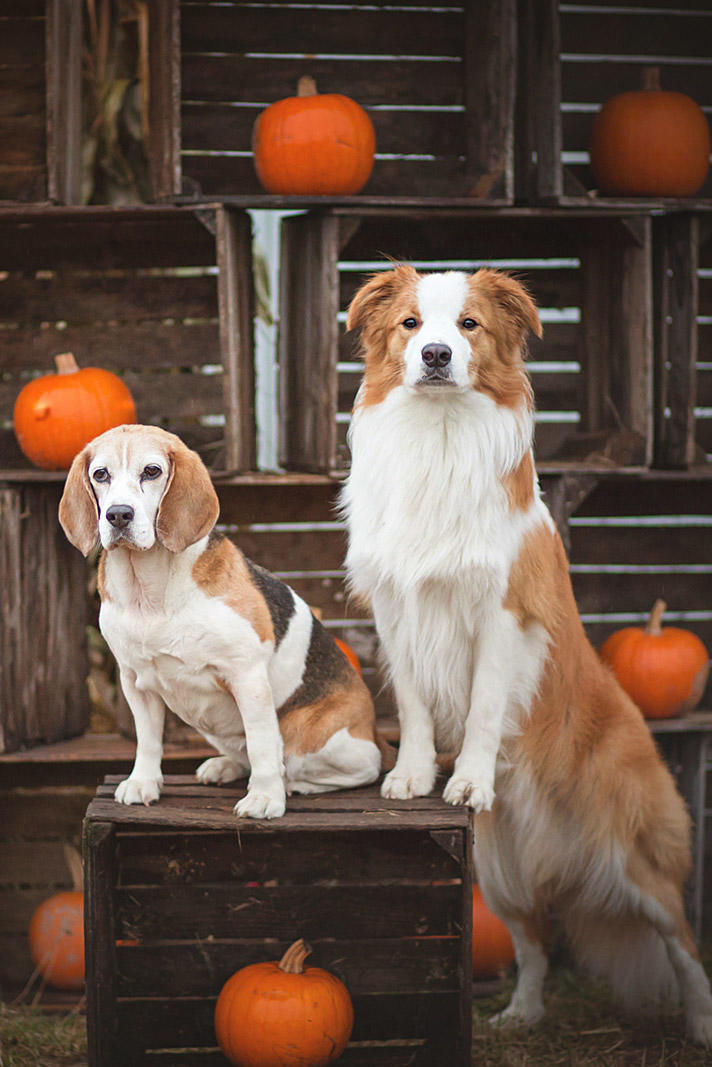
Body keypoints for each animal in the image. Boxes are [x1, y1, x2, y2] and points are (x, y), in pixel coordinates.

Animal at [341, 264, 712, 1041]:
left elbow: (484, 707)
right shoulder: (395, 613)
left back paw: (699, 1021)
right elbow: (416, 707)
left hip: (637, 857)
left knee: (683, 942)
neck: (439, 434)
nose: (437, 356)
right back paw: (522, 1013)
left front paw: (470, 778)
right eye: (411, 324)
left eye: (470, 325)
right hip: (499, 873)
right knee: (534, 940)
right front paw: (415, 775)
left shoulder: (503, 616)